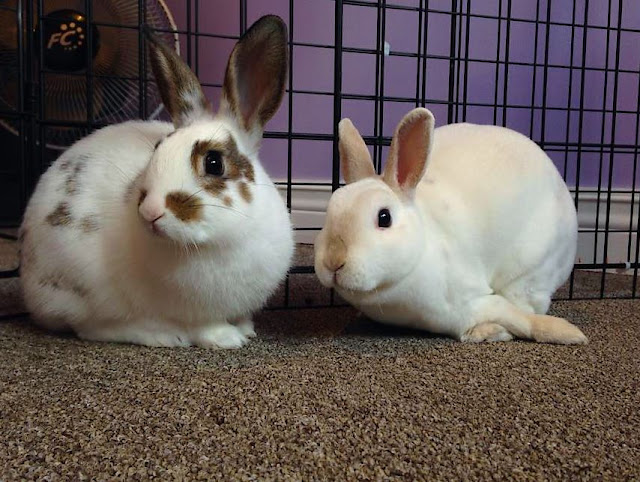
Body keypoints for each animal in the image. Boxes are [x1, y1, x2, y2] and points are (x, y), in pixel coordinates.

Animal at [19, 15, 294, 348]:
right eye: (158, 148)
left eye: (214, 162)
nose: (150, 212)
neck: (225, 239)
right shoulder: (195, 312)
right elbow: (205, 326)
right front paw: (228, 339)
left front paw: (246, 328)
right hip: (85, 287)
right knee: (91, 327)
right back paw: (163, 334)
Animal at [314, 107, 587, 344]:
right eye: (330, 208)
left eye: (384, 218)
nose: (334, 261)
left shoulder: (469, 299)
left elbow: (517, 318)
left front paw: (565, 333)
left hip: (530, 272)